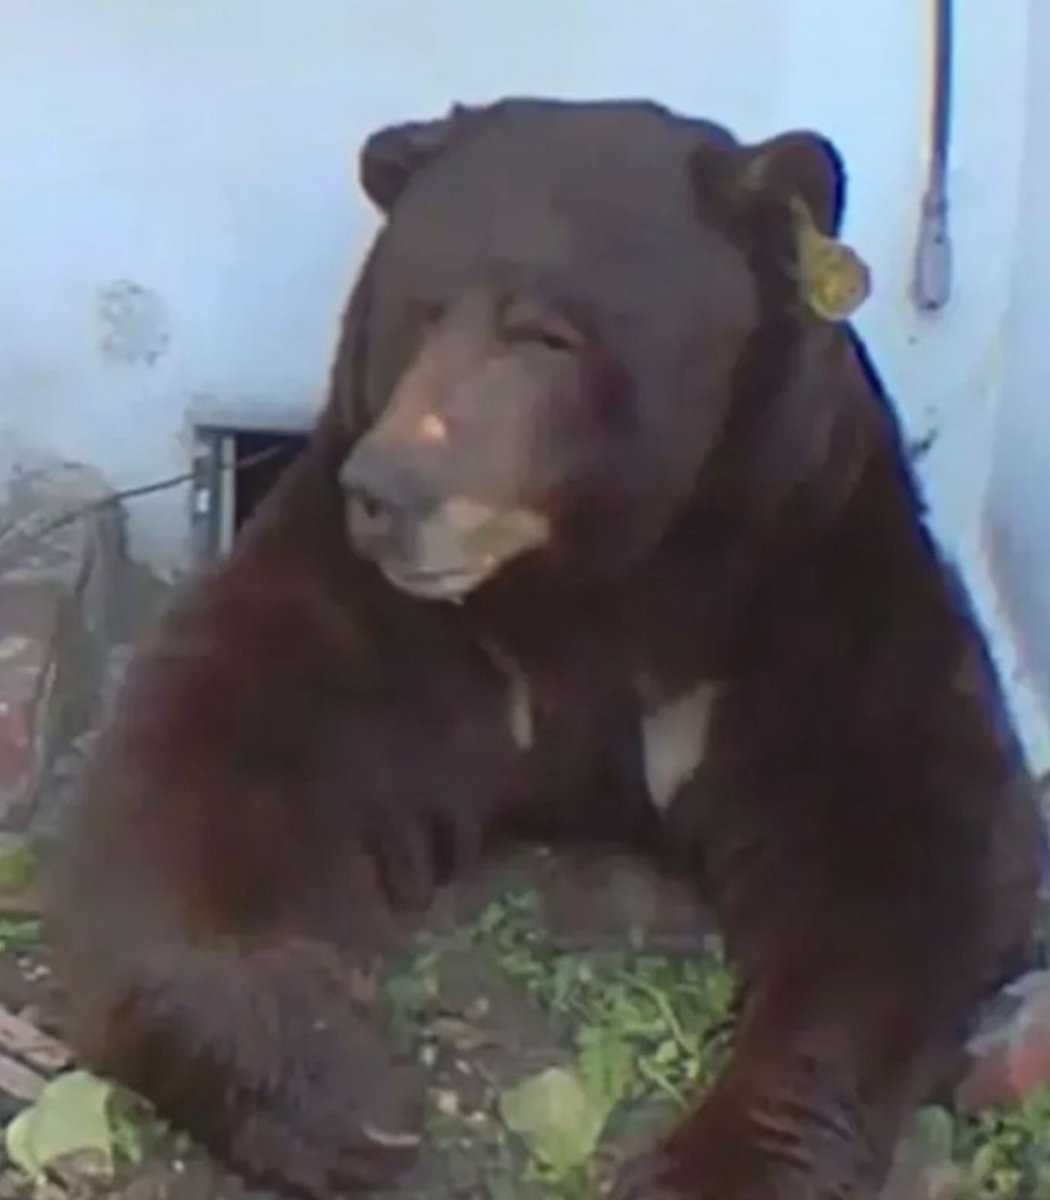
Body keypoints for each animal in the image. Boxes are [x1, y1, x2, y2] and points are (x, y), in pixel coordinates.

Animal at [48, 97, 1045, 1200]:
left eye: (546, 334)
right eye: (422, 309)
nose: (389, 491)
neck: (593, 584)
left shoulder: (809, 583)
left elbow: (908, 844)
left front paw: (720, 1160)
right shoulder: (386, 618)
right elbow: (207, 760)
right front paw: (338, 1091)